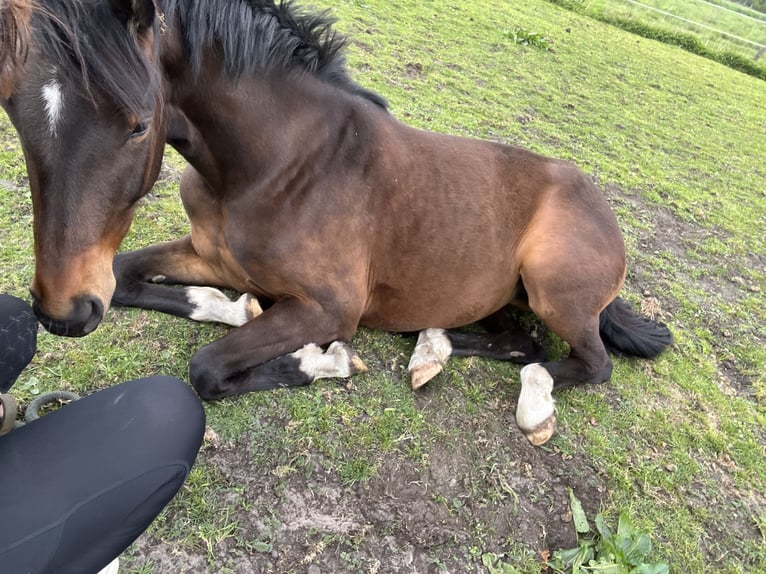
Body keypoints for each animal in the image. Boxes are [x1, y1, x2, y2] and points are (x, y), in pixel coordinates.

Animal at [0, 0, 671, 446]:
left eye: (139, 124)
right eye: (13, 111)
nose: (63, 313)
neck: (281, 163)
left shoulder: (330, 306)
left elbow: (209, 368)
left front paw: (325, 361)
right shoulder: (208, 254)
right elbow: (131, 275)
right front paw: (232, 306)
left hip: (551, 286)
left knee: (585, 362)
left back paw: (530, 404)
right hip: (499, 296)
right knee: (517, 340)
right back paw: (431, 348)